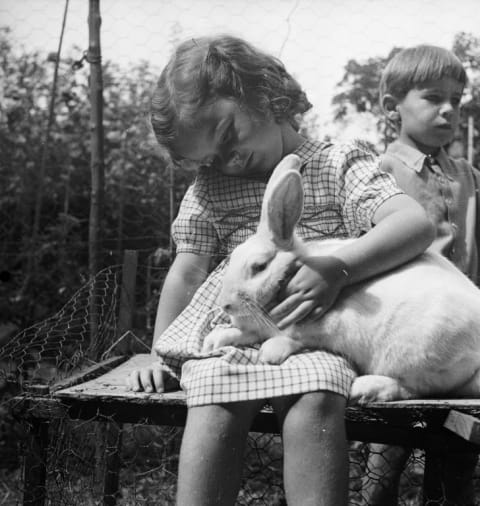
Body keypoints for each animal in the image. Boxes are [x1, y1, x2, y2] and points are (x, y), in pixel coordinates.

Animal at [200, 154, 480, 404]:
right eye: (232, 258)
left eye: (259, 267)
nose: (225, 304)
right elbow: (243, 333)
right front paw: (215, 340)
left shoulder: (323, 326)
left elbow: (293, 337)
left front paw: (270, 353)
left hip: (416, 354)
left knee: (423, 387)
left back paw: (367, 388)